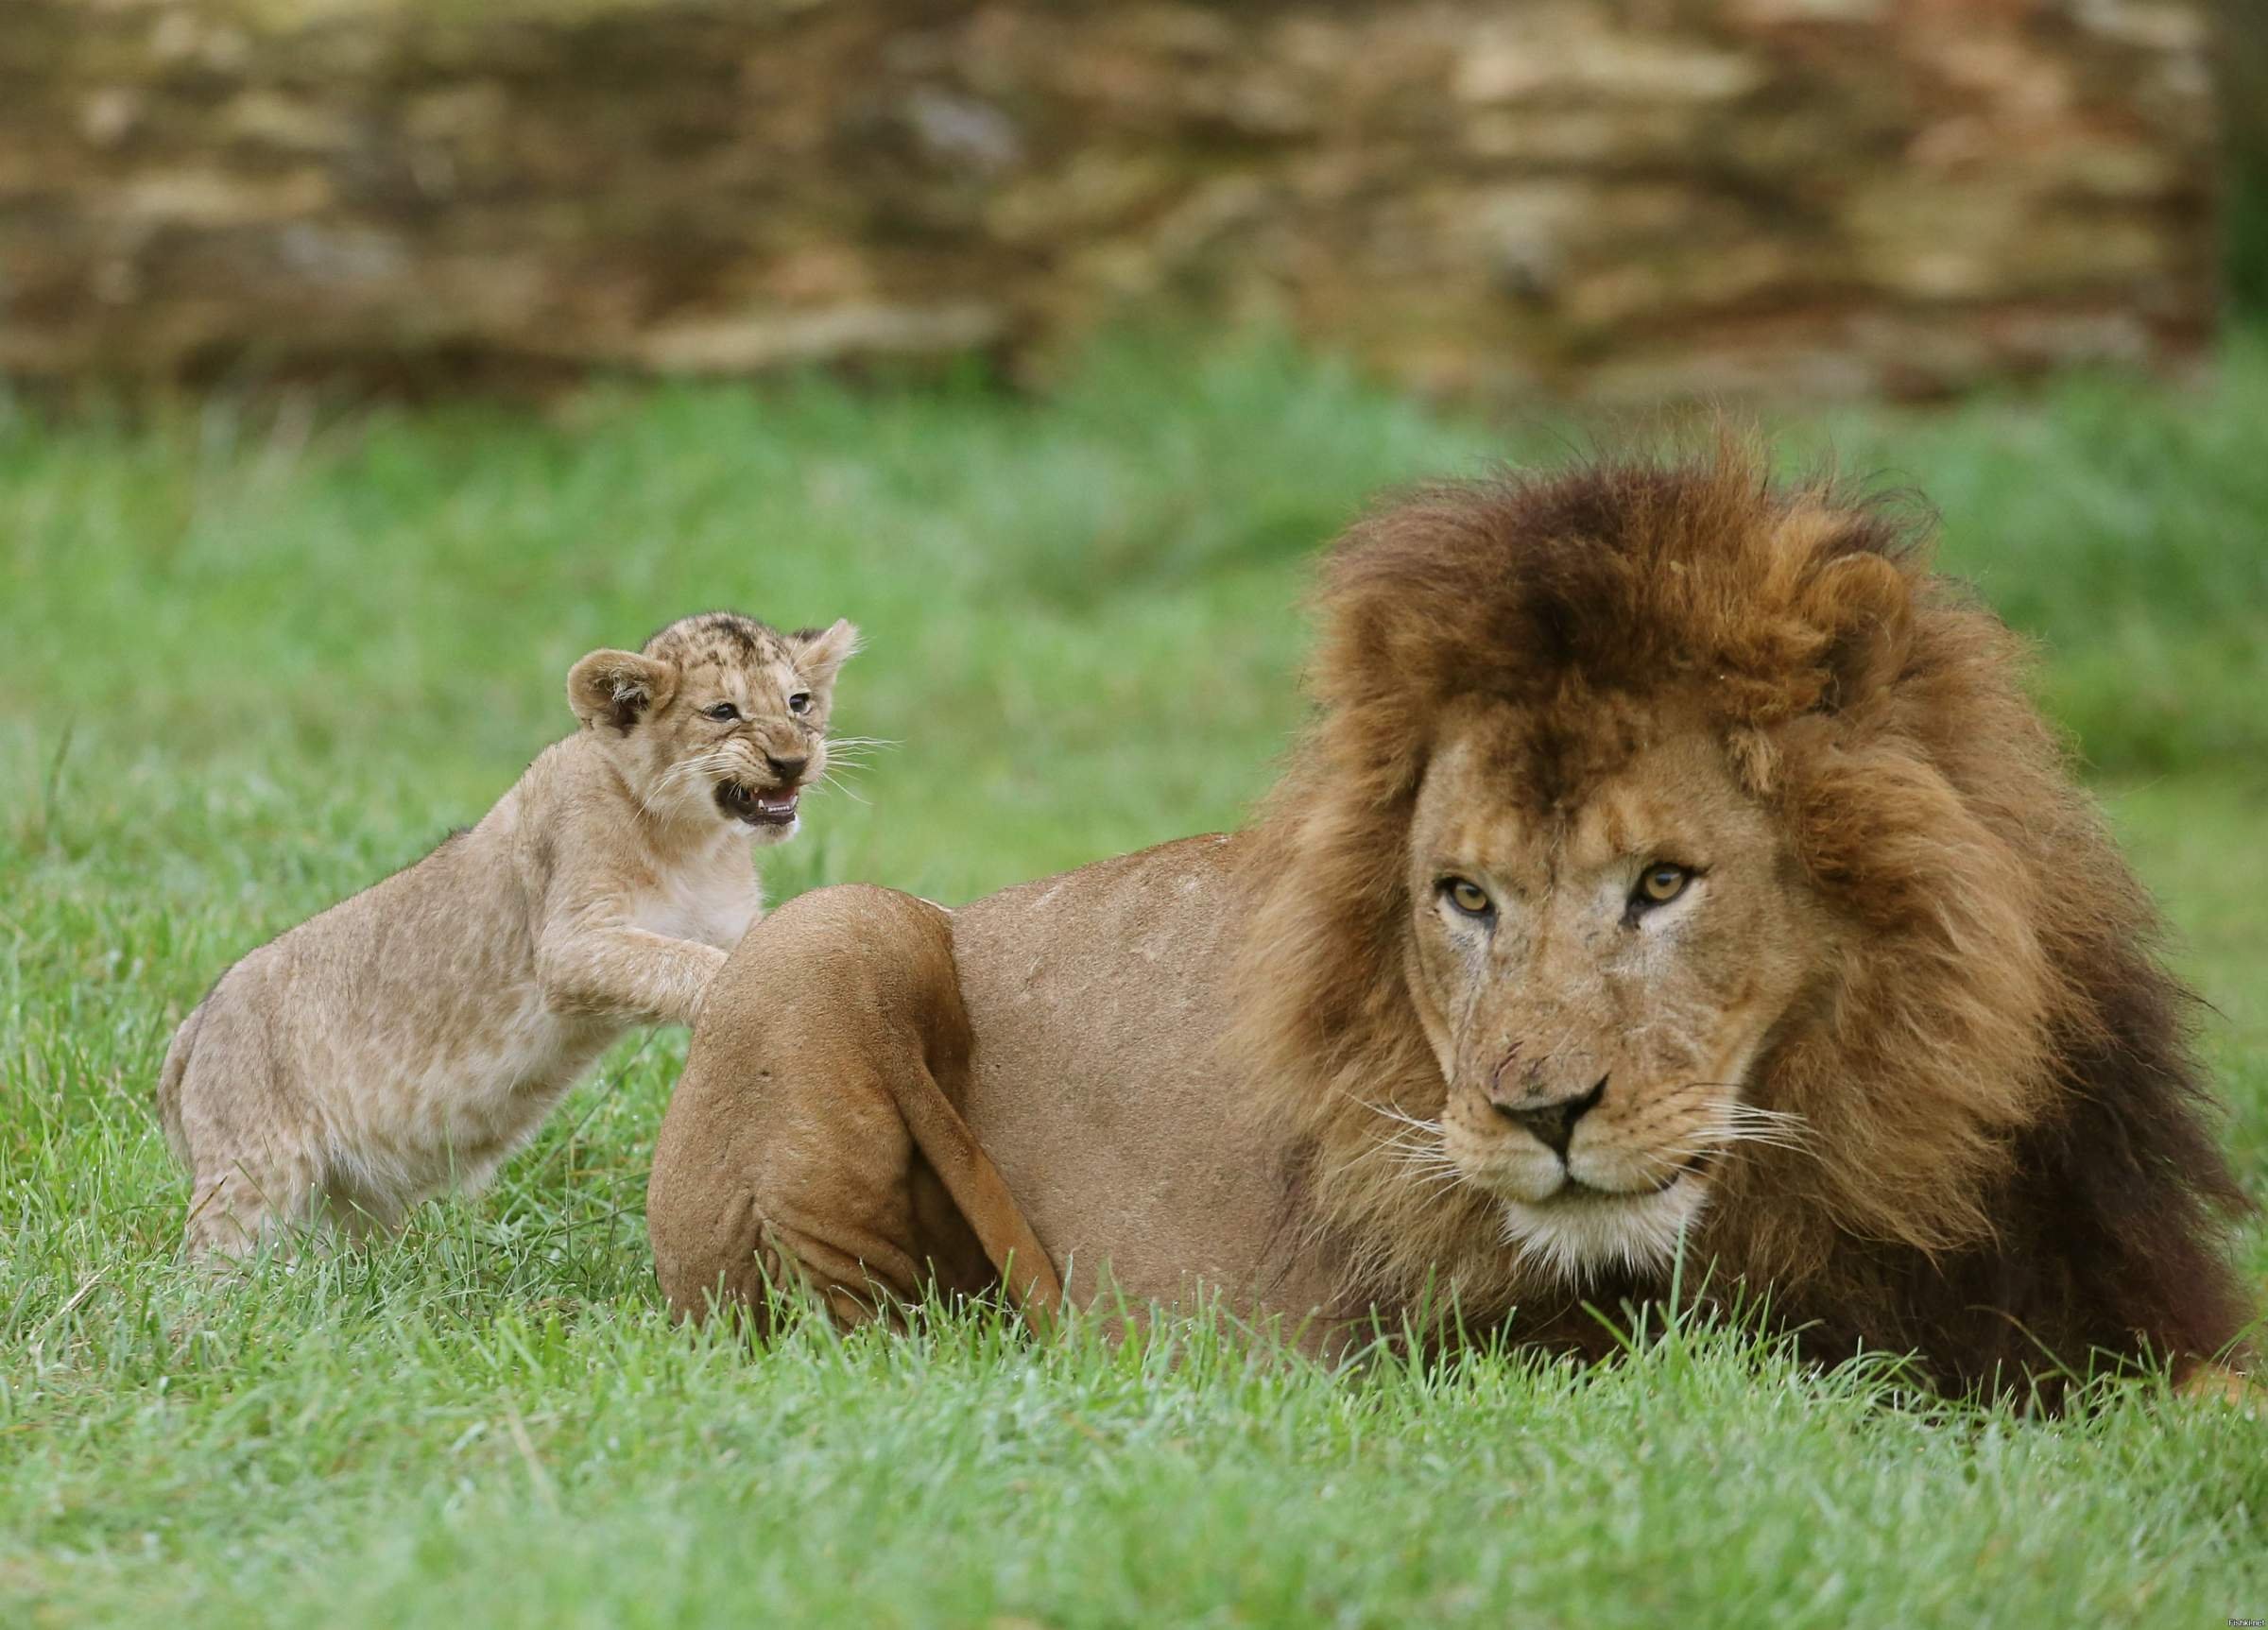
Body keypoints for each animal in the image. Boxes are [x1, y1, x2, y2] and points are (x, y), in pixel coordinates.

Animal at [648, 449, 2259, 1405]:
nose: (1536, 1114)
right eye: (1466, 895)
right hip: (835, 934)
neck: (1870, 1137)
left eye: (1662, 883)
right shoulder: (1469, 1358)